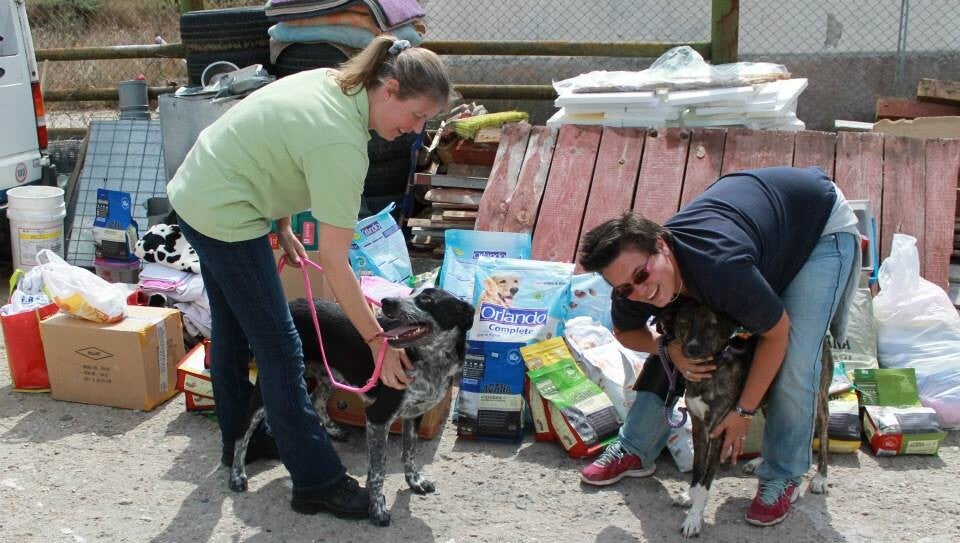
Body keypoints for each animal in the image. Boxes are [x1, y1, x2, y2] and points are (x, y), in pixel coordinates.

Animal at [228, 288, 475, 526]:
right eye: (412, 292)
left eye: (426, 299)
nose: (386, 301)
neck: (429, 361)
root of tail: (290, 304)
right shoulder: (377, 417)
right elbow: (379, 469)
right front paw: (377, 509)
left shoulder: (414, 415)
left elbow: (410, 452)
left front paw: (415, 481)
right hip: (270, 383)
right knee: (242, 432)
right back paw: (237, 475)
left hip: (329, 376)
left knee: (316, 400)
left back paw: (333, 430)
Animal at [655, 296, 832, 537]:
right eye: (683, 323)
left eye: (711, 324)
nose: (693, 348)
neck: (712, 369)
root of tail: (826, 338)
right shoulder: (699, 426)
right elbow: (697, 472)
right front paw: (689, 497)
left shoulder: (719, 431)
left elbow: (705, 482)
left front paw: (694, 518)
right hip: (766, 399)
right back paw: (759, 462)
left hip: (818, 398)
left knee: (822, 434)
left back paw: (820, 478)